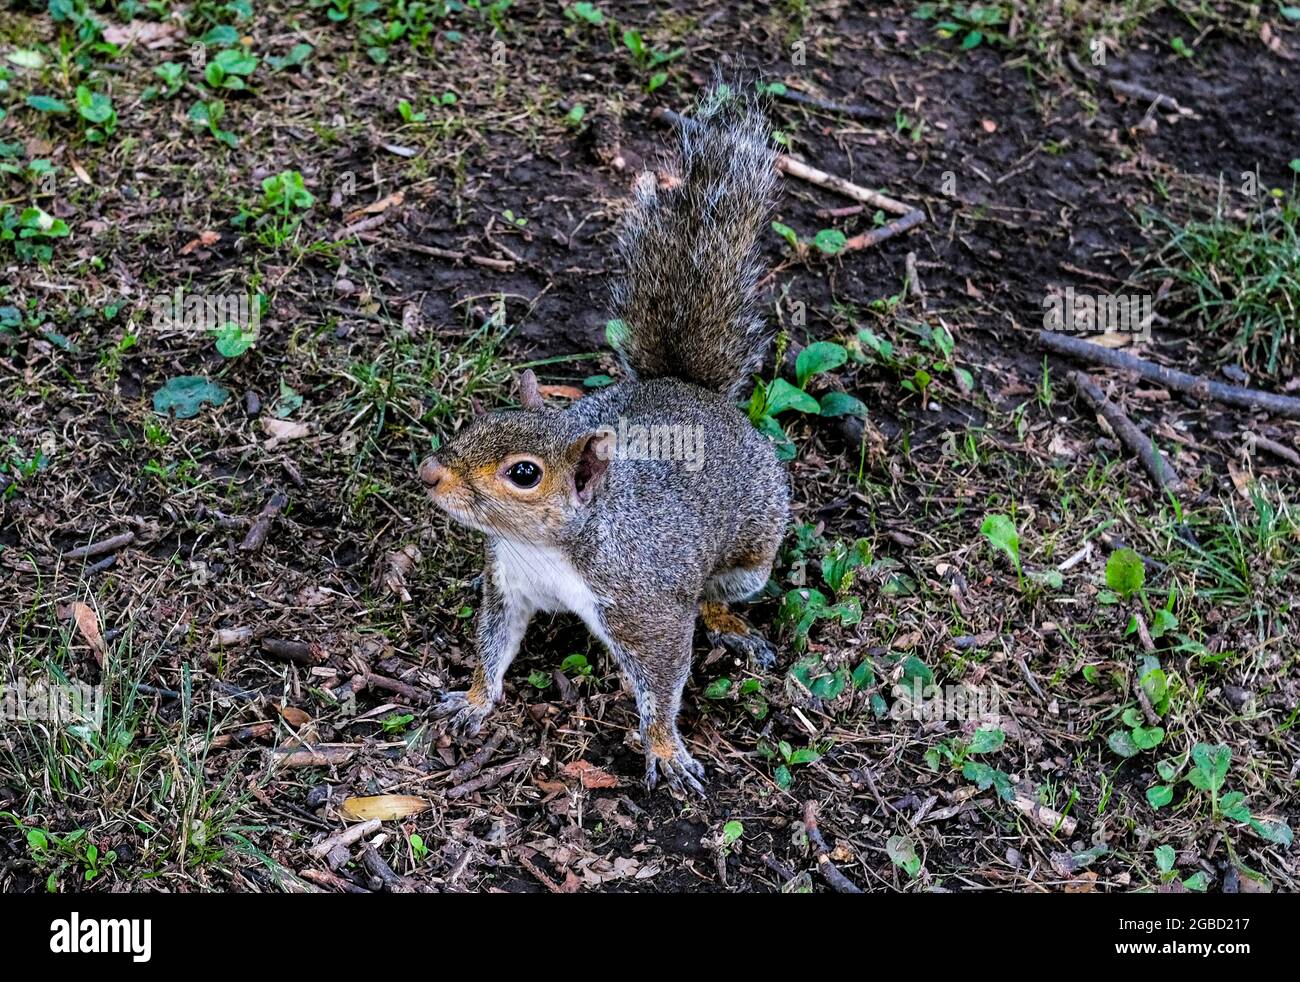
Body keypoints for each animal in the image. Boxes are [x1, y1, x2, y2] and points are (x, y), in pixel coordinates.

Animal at [421, 86, 785, 801]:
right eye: (476, 423)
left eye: (524, 474)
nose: (430, 473)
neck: (546, 550)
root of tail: (690, 391)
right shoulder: (509, 585)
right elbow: (492, 643)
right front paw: (474, 699)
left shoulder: (646, 606)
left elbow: (664, 678)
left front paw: (665, 748)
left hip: (753, 552)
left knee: (715, 596)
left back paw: (729, 623)